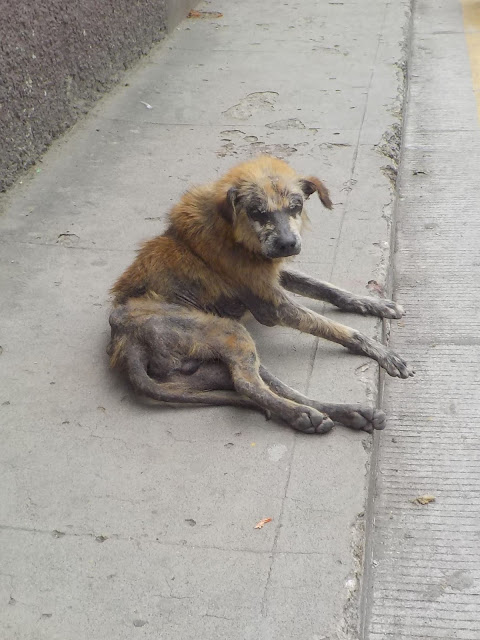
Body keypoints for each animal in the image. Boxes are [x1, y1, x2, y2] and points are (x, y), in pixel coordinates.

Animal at [108, 156, 412, 436]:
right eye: (257, 212)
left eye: (296, 206)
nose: (288, 244)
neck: (234, 233)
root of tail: (126, 341)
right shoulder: (273, 307)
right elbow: (339, 329)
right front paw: (381, 351)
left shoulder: (272, 274)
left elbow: (328, 288)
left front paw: (374, 304)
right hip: (229, 331)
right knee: (248, 385)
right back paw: (303, 415)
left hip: (212, 367)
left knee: (267, 386)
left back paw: (349, 413)